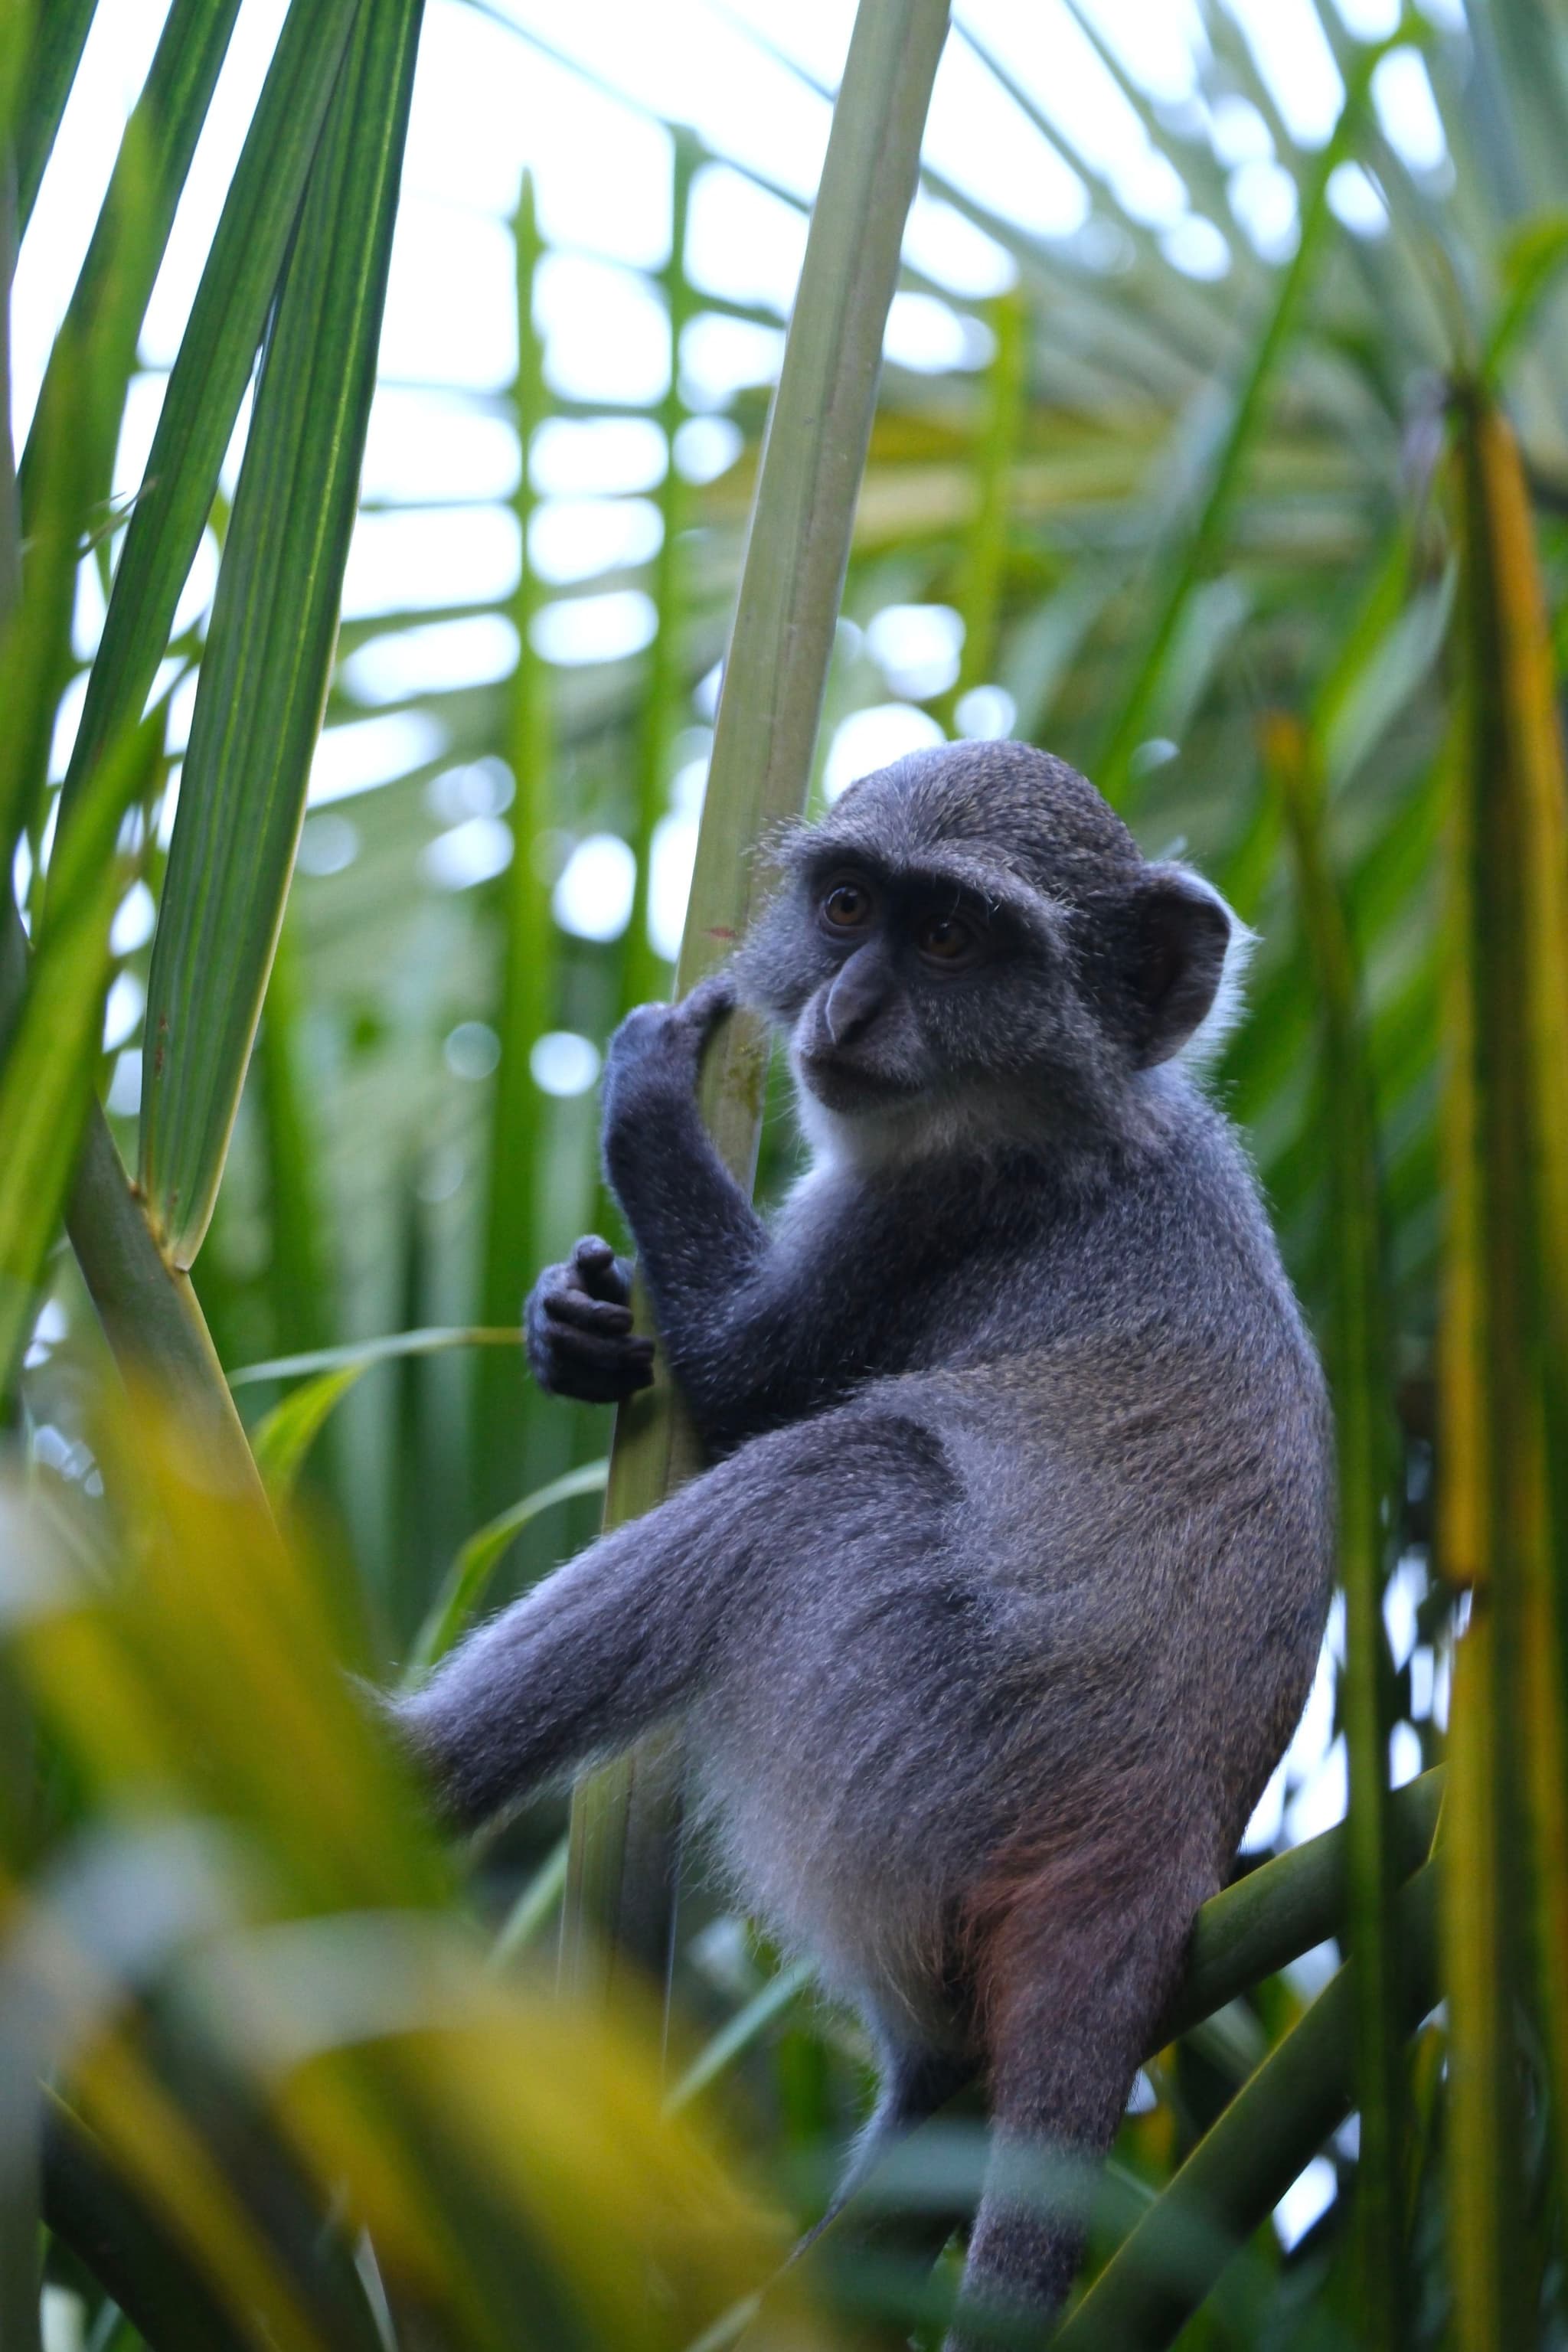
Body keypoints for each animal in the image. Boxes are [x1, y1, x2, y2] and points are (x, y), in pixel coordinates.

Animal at [396, 741, 1334, 2343]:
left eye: (947, 936)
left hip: (917, 1758)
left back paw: (400, 1763)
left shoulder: (924, 1209)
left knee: (834, 1476)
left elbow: (750, 1380)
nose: (841, 1009)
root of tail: (1147, 1863)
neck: (1088, 1112)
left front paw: (645, 1092)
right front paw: (573, 1323)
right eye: (845, 907)